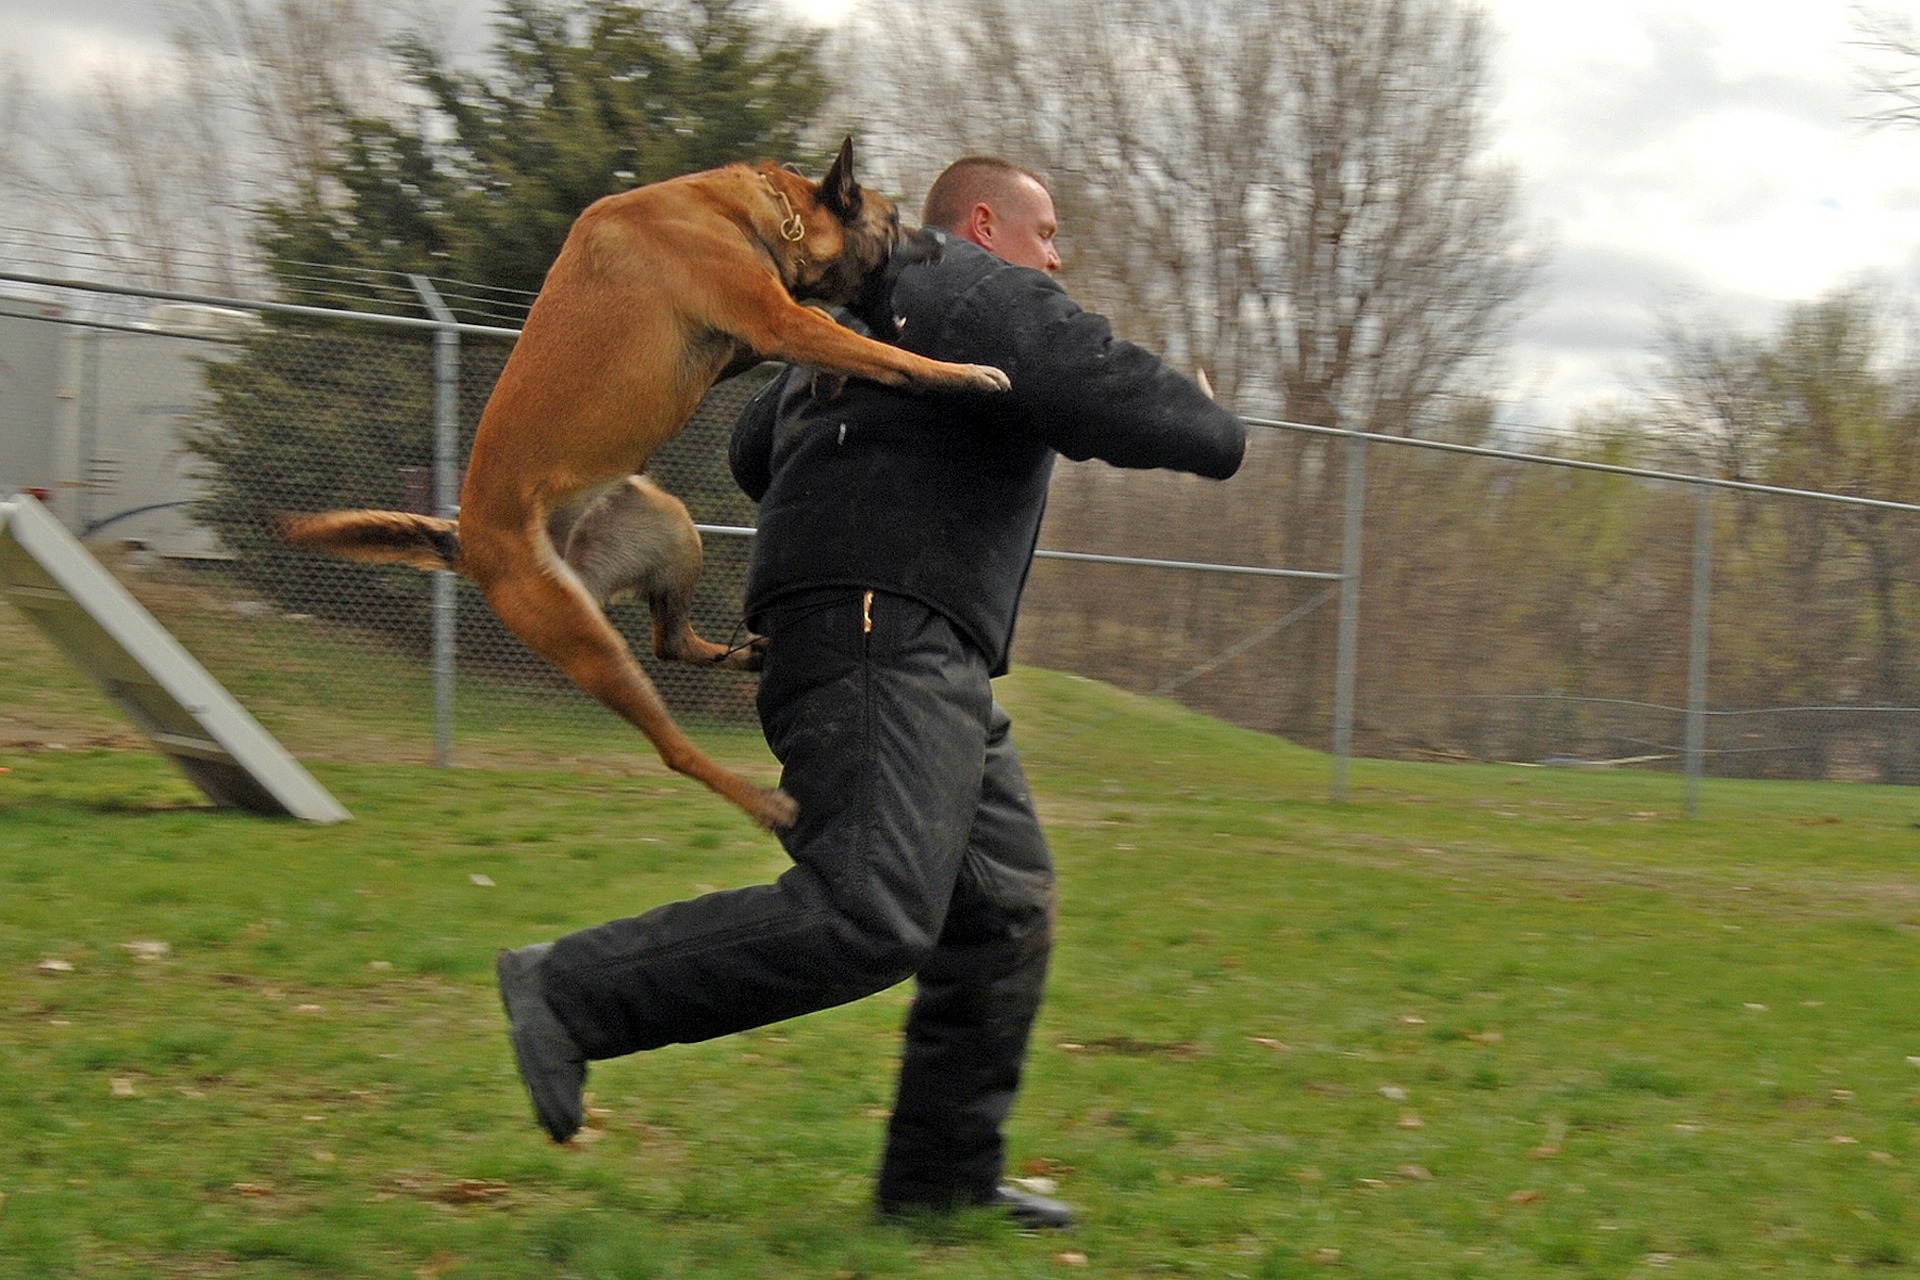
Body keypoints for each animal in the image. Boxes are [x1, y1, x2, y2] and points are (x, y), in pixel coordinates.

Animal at [284, 140, 1013, 832]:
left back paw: (746, 657)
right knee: (670, 745)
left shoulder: (747, 339)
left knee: (671, 642)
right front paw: (965, 374)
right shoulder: (775, 320)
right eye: (895, 221)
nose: (941, 240)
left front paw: (835, 378)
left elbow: (840, 338)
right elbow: (884, 353)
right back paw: (761, 802)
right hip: (588, 642)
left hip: (669, 527)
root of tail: (470, 540)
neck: (757, 213)